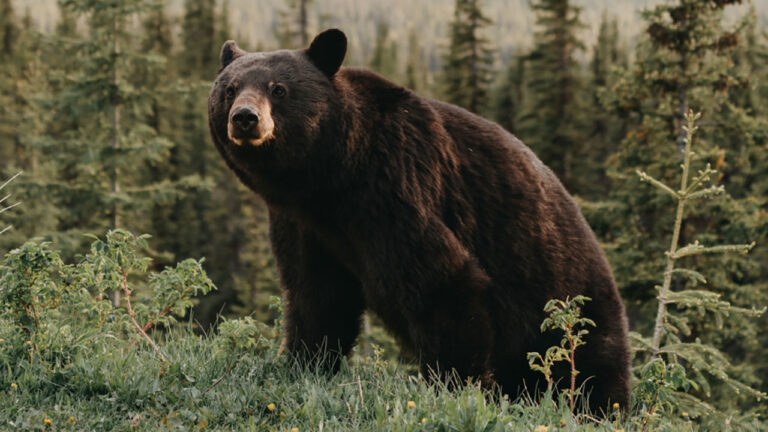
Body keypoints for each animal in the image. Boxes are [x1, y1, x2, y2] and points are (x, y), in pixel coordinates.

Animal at [208, 28, 631, 411]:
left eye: (278, 89)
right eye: (229, 89)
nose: (245, 118)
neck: (331, 179)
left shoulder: (396, 188)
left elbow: (442, 282)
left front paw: (454, 386)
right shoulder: (303, 225)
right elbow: (316, 295)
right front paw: (302, 363)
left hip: (570, 307)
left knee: (591, 368)